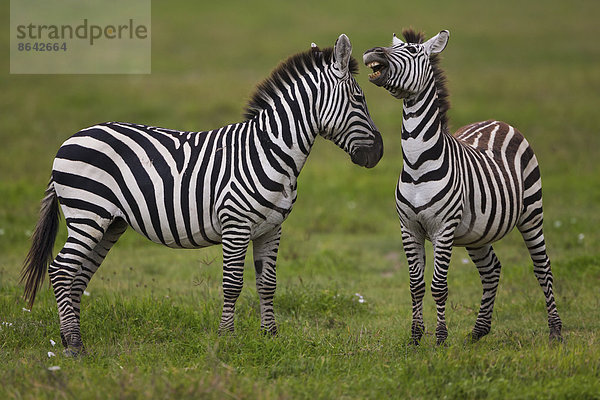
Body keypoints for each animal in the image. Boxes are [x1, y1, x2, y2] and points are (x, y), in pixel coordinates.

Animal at [22, 32, 384, 354]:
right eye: (359, 99)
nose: (378, 154)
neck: (270, 150)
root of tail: (70, 139)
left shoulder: (272, 228)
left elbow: (267, 284)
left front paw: (270, 337)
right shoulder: (236, 224)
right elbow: (232, 283)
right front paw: (227, 338)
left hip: (110, 223)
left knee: (78, 276)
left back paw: (69, 338)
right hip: (88, 213)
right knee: (62, 270)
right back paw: (75, 346)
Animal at [360, 29, 564, 346]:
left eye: (414, 51)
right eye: (395, 46)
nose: (373, 51)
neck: (417, 164)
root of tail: (497, 121)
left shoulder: (443, 230)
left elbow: (438, 286)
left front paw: (441, 339)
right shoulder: (409, 228)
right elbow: (416, 285)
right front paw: (415, 337)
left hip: (532, 213)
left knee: (543, 268)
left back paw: (555, 330)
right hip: (477, 233)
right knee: (492, 270)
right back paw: (479, 331)